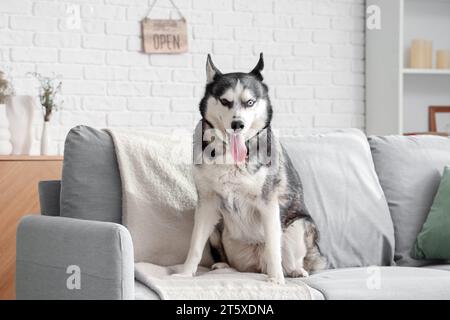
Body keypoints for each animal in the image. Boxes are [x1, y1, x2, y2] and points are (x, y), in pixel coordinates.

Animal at [178, 53, 326, 284]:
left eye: (250, 102)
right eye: (225, 101)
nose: (237, 124)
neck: (232, 156)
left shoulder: (268, 203)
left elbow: (274, 248)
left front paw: (277, 281)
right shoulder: (206, 203)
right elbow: (194, 245)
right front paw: (185, 274)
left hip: (299, 226)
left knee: (288, 258)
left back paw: (294, 271)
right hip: (217, 228)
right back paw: (224, 266)